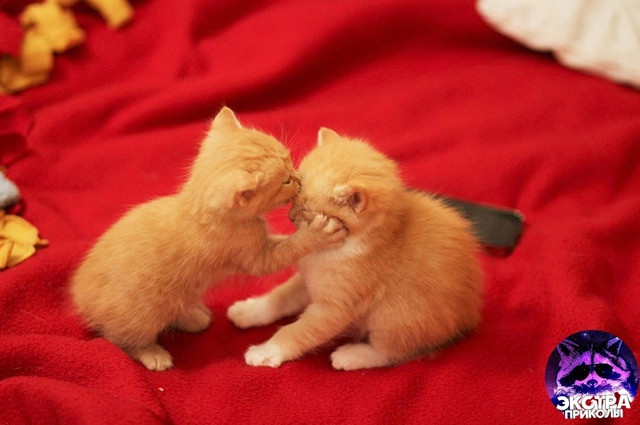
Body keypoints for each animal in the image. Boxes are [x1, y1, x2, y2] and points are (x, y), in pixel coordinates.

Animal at [70, 108, 347, 371]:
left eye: (290, 160)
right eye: (286, 181)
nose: (299, 177)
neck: (199, 210)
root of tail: (80, 299)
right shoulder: (254, 257)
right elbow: (288, 249)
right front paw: (317, 235)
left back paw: (193, 317)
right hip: (140, 317)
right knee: (120, 339)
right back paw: (152, 353)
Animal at [227, 128, 483, 370]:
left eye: (308, 212)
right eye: (294, 198)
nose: (290, 217)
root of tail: (469, 311)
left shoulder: (335, 307)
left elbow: (298, 331)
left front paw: (267, 351)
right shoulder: (308, 279)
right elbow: (282, 296)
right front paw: (251, 310)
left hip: (396, 317)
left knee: (391, 352)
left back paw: (353, 355)